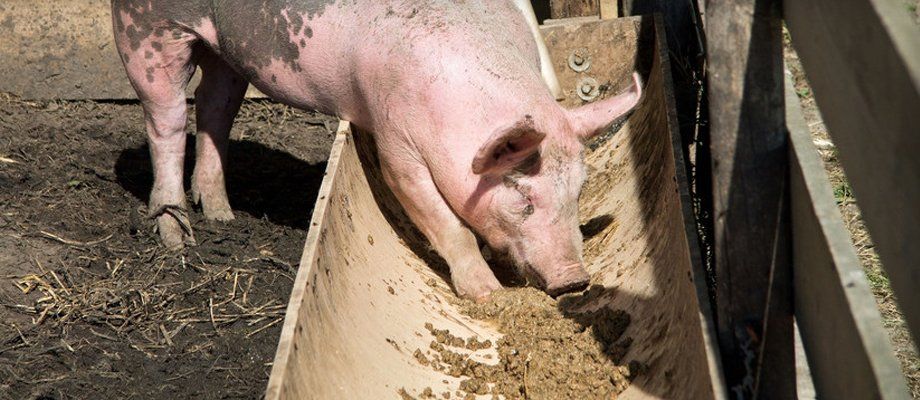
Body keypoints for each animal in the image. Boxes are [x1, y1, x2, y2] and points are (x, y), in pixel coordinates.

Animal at [111, 0, 642, 300]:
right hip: (147, 30)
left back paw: (222, 215)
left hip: (226, 50)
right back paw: (177, 236)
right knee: (165, 118)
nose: (575, 280)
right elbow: (445, 223)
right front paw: (489, 296)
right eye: (523, 196)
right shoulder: (396, 143)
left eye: (578, 192)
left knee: (214, 104)